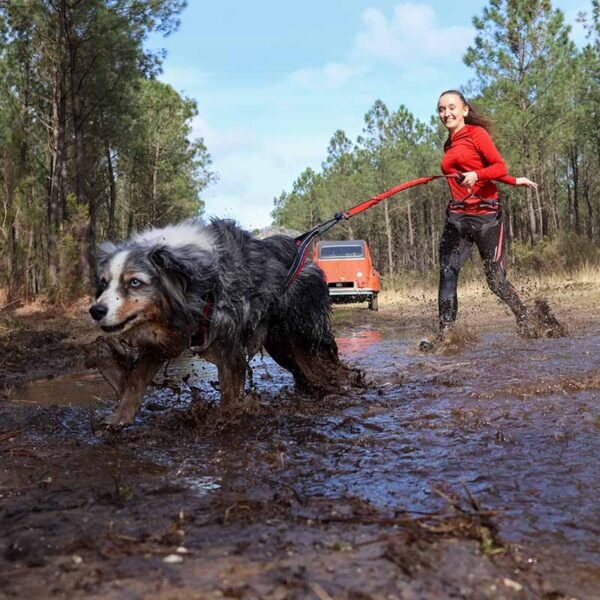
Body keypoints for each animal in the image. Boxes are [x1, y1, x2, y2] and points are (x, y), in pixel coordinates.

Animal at [86, 219, 358, 426]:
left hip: (305, 337)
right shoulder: (166, 340)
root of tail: (304, 255)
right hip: (282, 347)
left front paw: (227, 418)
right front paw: (119, 417)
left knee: (326, 367)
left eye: (134, 282)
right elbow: (136, 379)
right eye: (104, 283)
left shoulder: (230, 345)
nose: (95, 310)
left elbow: (229, 392)